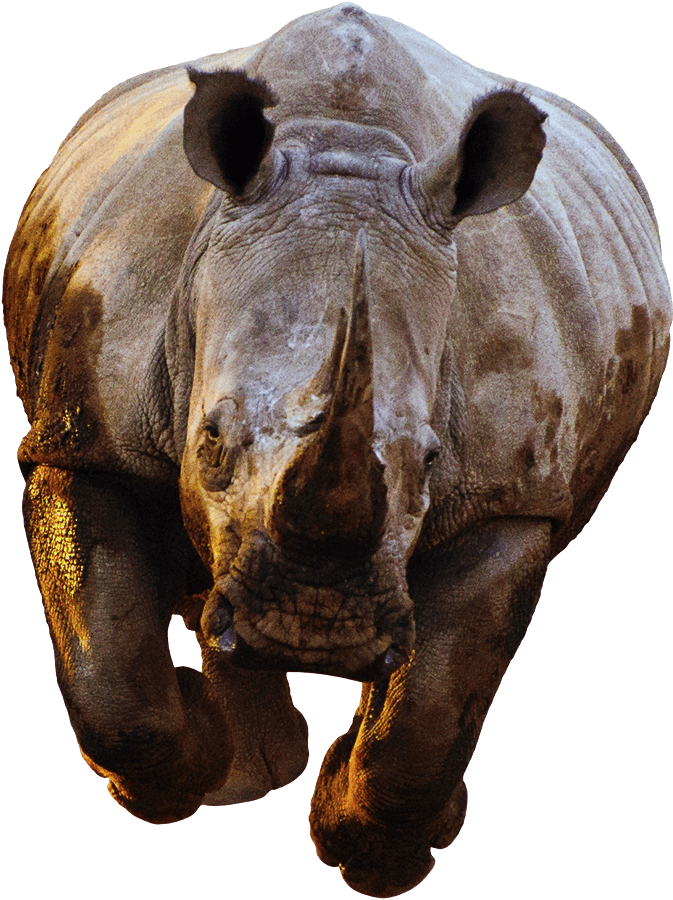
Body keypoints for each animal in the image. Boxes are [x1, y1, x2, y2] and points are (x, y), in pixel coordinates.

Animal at [3, 4, 670, 895]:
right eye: (209, 441)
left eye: (430, 461)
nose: (313, 631)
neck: (344, 149)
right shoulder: (82, 434)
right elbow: (111, 680)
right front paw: (181, 777)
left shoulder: (512, 495)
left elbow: (434, 706)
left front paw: (375, 852)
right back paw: (250, 770)